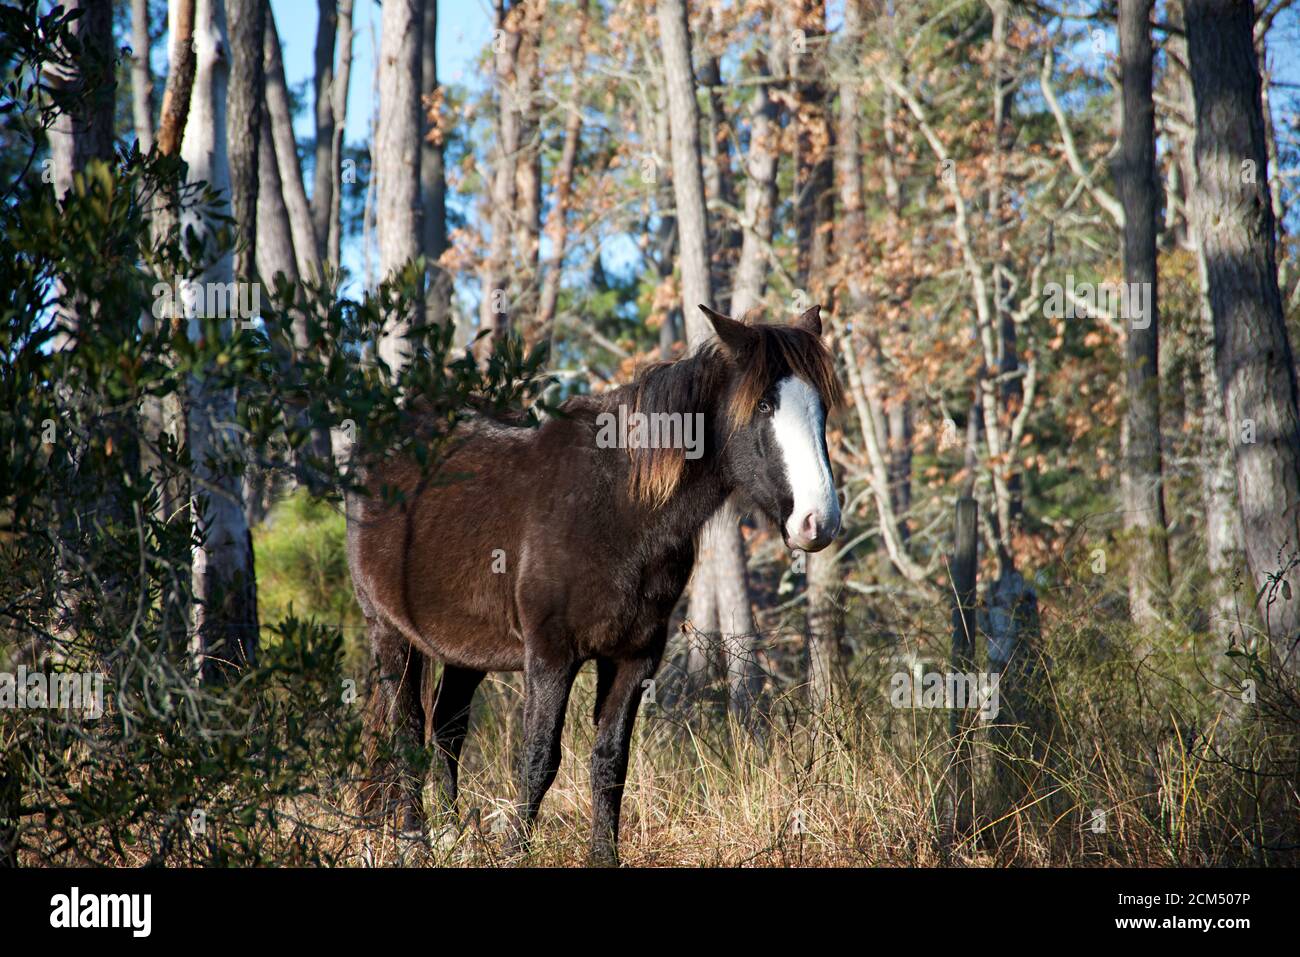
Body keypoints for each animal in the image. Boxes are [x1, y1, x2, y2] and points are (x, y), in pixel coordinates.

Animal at [346, 303, 844, 864]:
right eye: (763, 405)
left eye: (822, 407)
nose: (818, 522)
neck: (619, 506)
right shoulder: (550, 655)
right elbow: (539, 759)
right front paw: (517, 851)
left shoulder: (634, 656)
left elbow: (610, 763)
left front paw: (603, 856)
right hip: (389, 631)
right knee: (407, 733)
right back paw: (416, 843)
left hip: (462, 648)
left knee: (447, 729)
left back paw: (452, 835)